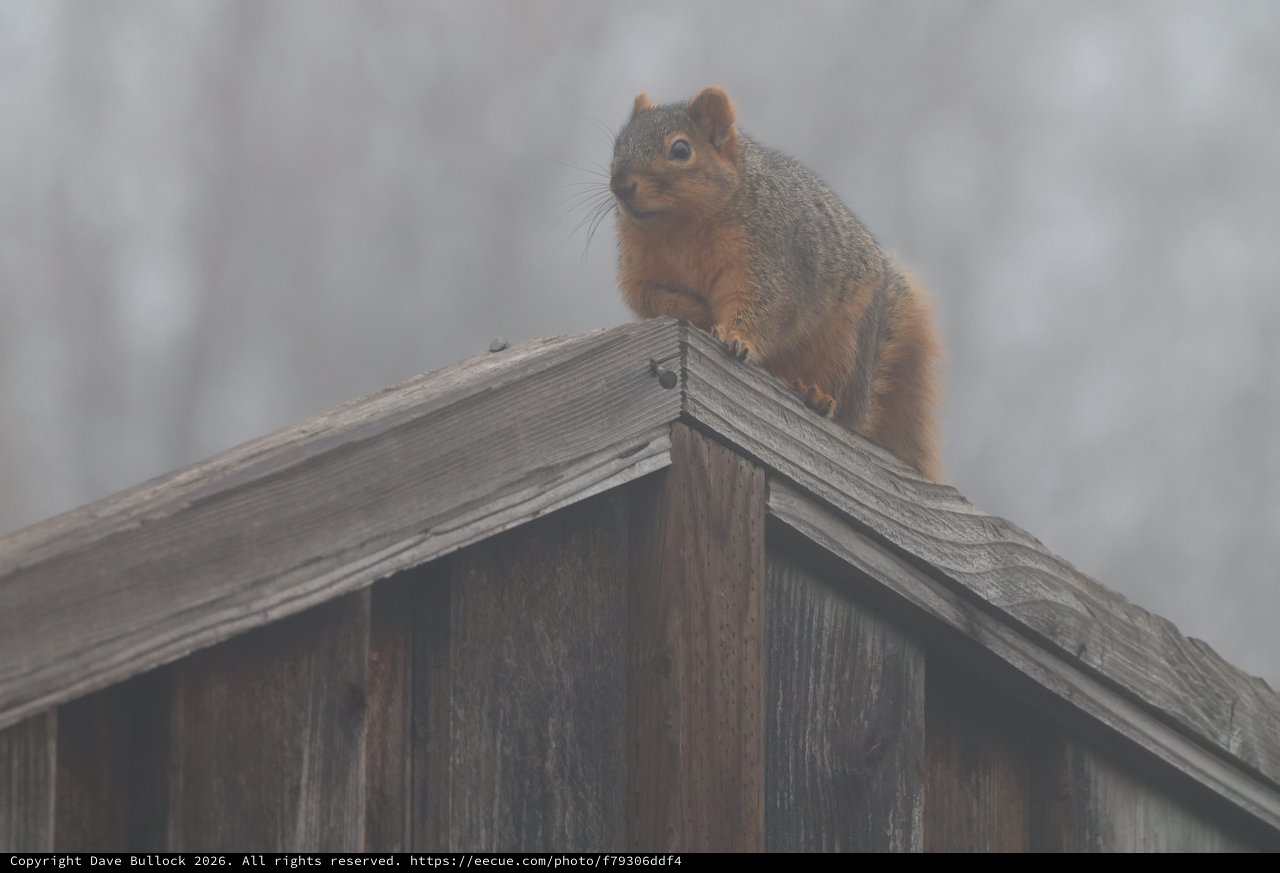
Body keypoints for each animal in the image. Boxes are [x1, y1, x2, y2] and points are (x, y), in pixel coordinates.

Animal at [610, 86, 944, 481]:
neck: (677, 229)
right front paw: (696, 312)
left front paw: (736, 338)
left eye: (680, 150)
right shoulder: (639, 272)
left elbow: (765, 305)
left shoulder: (769, 257)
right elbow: (649, 300)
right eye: (618, 144)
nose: (620, 186)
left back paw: (818, 396)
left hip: (844, 346)